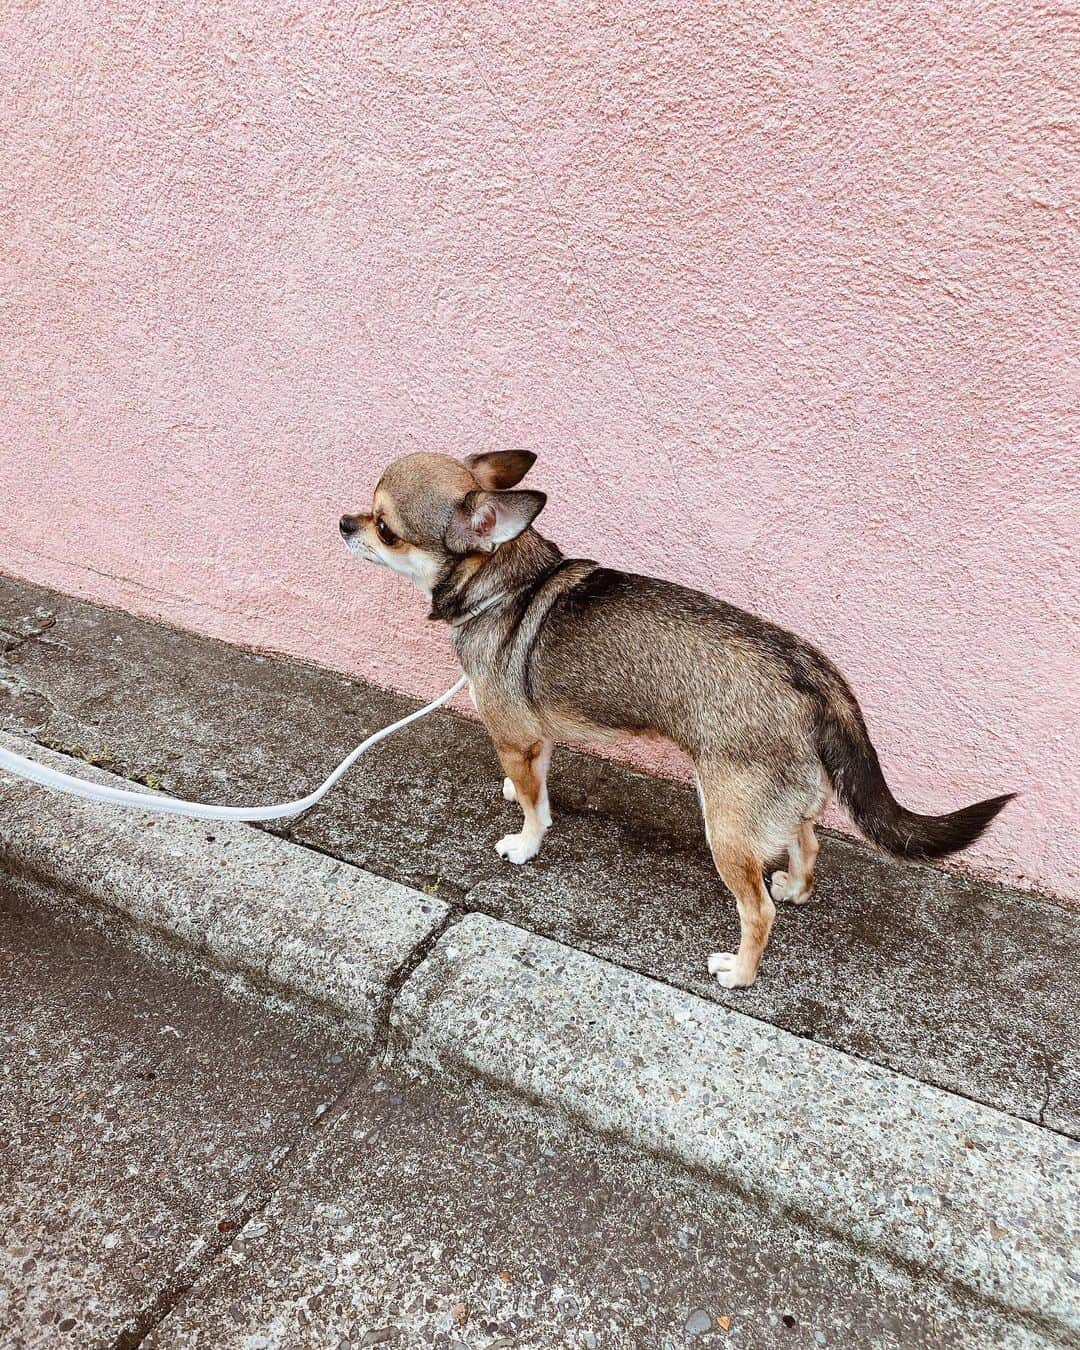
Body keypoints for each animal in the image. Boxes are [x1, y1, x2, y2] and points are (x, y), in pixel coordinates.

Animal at [340, 448, 1015, 988]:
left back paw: (740, 972)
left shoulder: (514, 736)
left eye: (385, 527)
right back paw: (795, 888)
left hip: (727, 825)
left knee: (758, 912)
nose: (343, 522)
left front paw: (526, 843)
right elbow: (538, 784)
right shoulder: (537, 735)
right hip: (780, 803)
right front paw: (522, 798)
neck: (507, 582)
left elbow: (534, 807)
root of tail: (819, 679)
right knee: (808, 843)